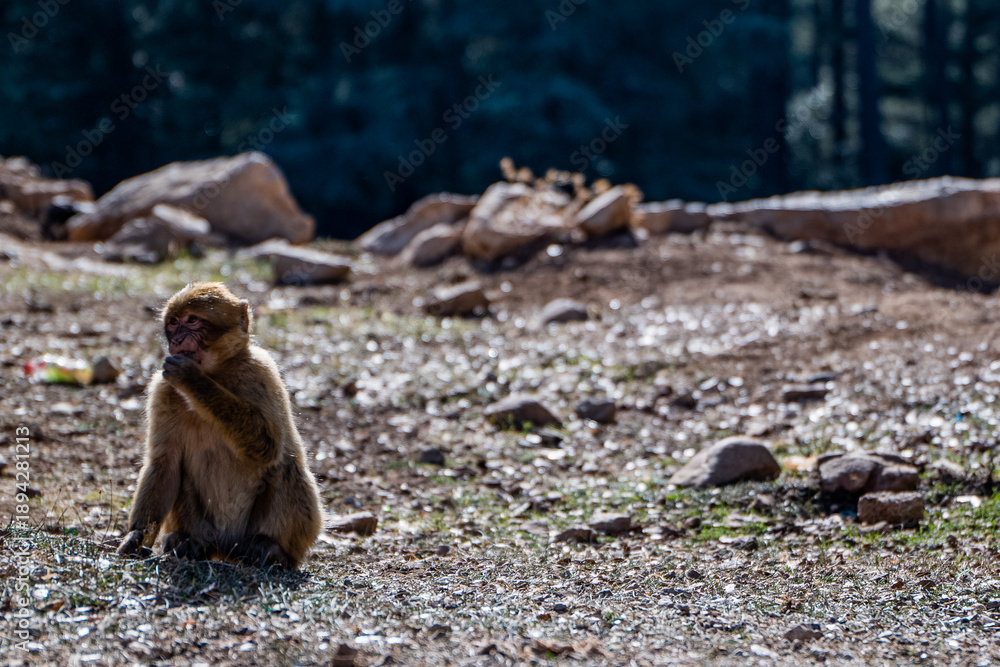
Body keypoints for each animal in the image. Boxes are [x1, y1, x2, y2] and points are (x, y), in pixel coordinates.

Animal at [117, 282, 322, 568]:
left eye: (192, 320)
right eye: (173, 323)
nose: (176, 341)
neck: (217, 373)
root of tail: (227, 547)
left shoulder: (262, 371)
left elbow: (268, 446)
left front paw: (193, 381)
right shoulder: (163, 389)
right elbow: (165, 462)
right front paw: (135, 537)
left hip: (257, 535)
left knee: (286, 465)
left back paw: (271, 549)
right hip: (208, 529)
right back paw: (188, 543)